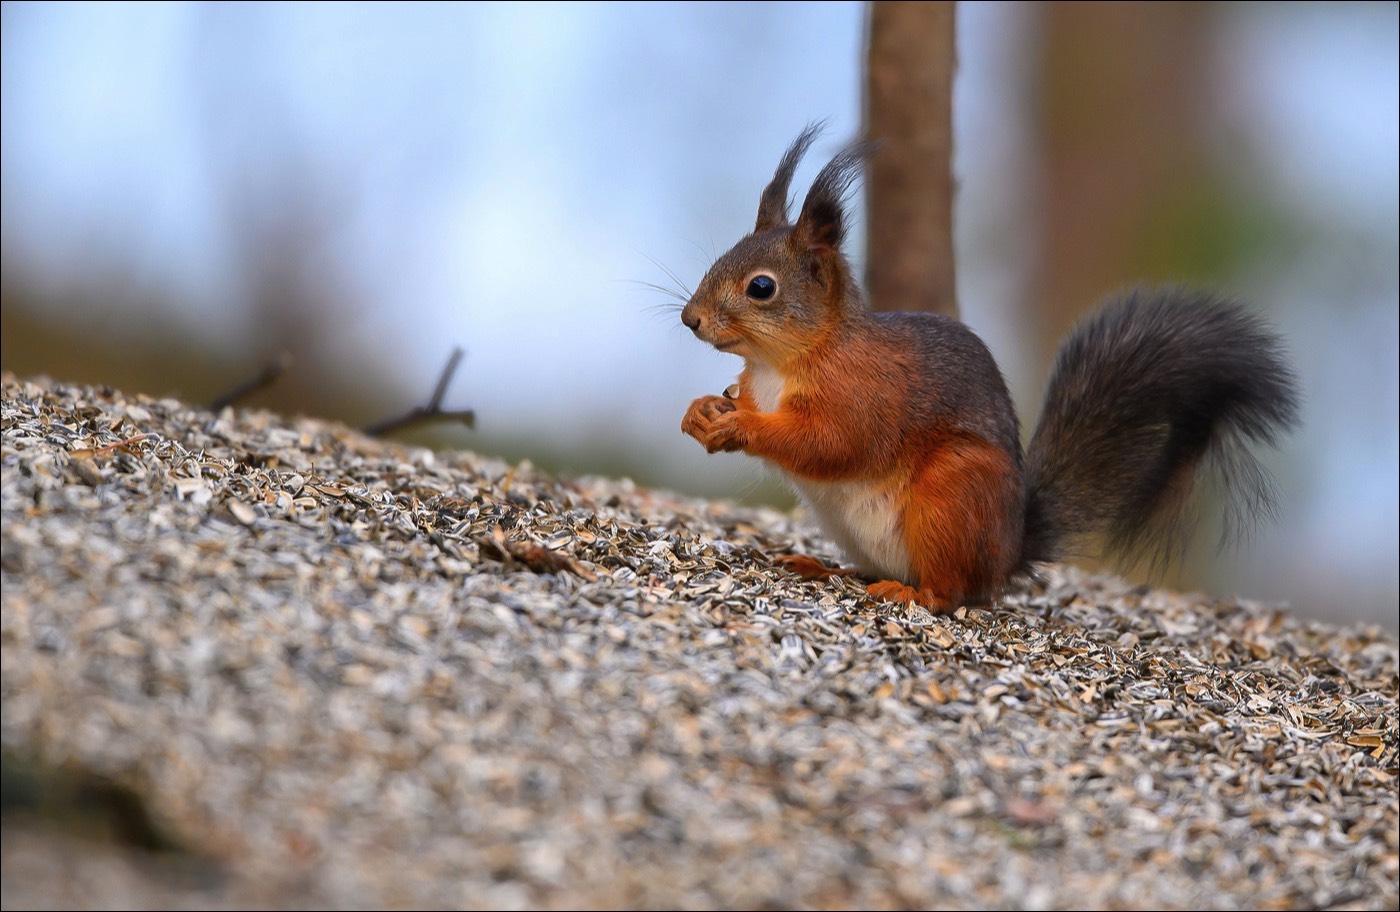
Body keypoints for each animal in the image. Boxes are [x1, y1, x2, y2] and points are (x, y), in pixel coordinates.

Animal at [677, 124, 1299, 613]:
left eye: (762, 288)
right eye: (721, 257)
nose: (690, 320)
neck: (780, 363)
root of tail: (1008, 554)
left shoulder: (865, 394)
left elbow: (831, 442)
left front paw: (741, 425)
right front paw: (703, 411)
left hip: (953, 495)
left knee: (951, 592)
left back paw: (911, 593)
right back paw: (822, 567)